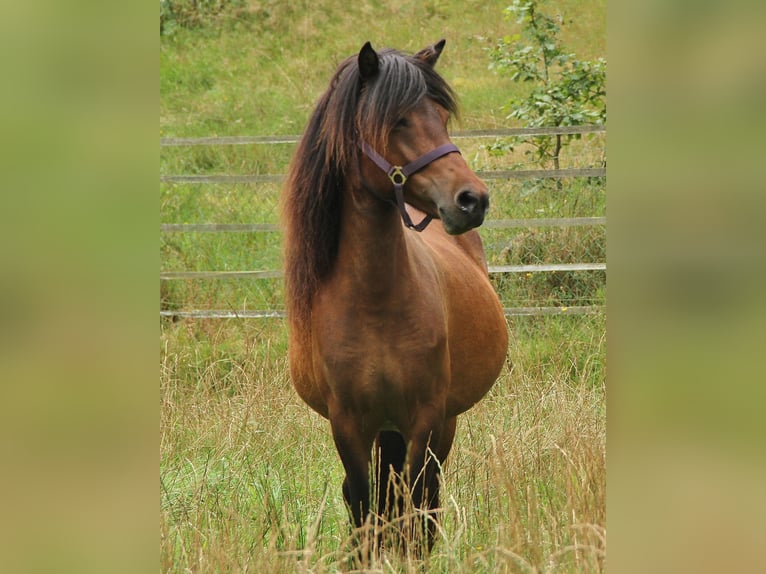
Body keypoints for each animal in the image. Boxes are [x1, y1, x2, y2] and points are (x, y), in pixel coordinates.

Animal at [282, 38, 510, 556]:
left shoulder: (423, 417)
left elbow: (411, 506)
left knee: (424, 498)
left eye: (441, 117)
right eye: (398, 120)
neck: (375, 302)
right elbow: (364, 507)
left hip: (441, 424)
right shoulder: (348, 425)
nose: (472, 199)